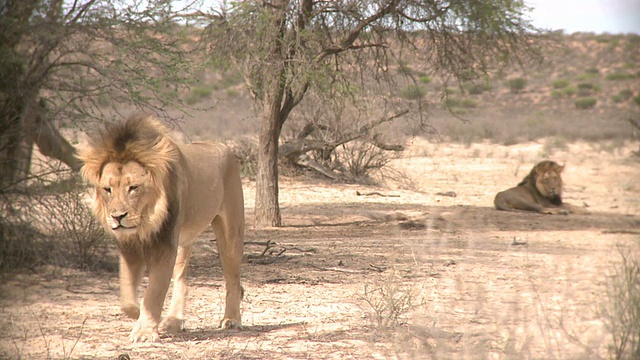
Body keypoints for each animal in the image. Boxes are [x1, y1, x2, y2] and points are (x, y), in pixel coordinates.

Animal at [77, 115, 242, 344]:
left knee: (233, 280)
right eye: (107, 189)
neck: (146, 221)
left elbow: (154, 292)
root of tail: (224, 148)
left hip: (230, 234)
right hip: (182, 242)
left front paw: (145, 331)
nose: (117, 217)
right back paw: (173, 321)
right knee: (182, 280)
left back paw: (232, 319)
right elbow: (127, 300)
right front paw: (146, 317)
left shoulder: (165, 246)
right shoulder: (129, 248)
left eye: (133, 188)